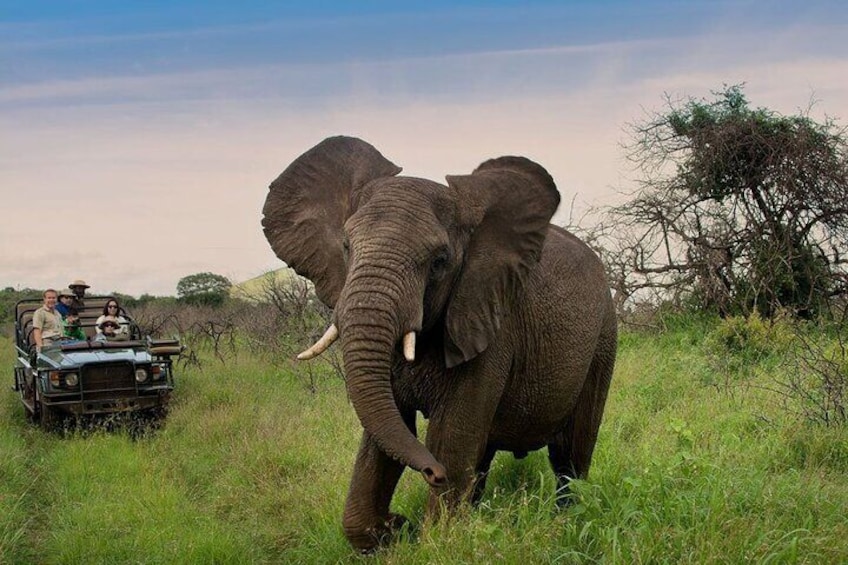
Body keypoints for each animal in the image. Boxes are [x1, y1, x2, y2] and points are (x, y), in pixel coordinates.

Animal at [260, 134, 616, 548]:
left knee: (570, 453)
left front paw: (434, 535)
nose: (433, 473)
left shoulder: (489, 324)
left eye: (439, 261)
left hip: (603, 338)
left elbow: (451, 435)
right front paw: (389, 532)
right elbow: (385, 435)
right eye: (347, 247)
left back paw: (567, 519)